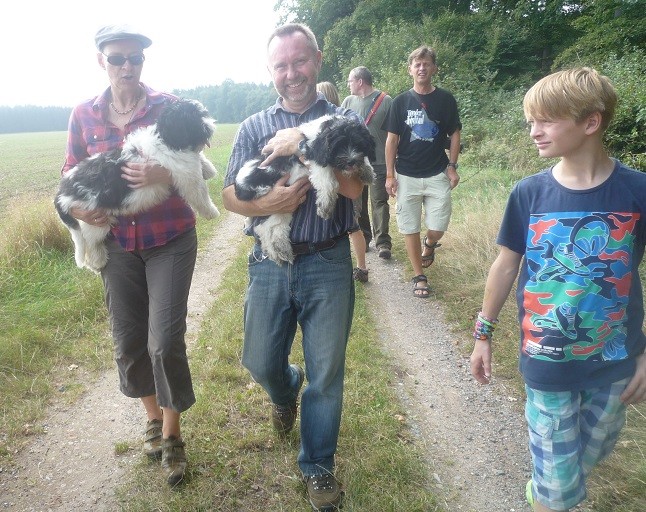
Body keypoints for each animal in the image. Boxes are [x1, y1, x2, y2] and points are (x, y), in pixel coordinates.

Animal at [54, 99, 220, 272]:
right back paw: (97, 262)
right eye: (194, 118)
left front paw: (209, 169)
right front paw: (212, 212)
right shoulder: (188, 177)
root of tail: (61, 192)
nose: (211, 126)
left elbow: (199, 157)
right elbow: (201, 195)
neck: (165, 138)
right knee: (91, 244)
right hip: (94, 220)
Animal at [235, 114, 378, 262]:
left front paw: (367, 171)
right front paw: (325, 205)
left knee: (269, 226)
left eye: (359, 145)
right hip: (272, 201)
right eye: (338, 146)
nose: (351, 161)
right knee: (266, 226)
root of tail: (241, 185)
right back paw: (280, 250)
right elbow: (329, 181)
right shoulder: (315, 158)